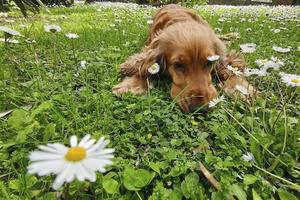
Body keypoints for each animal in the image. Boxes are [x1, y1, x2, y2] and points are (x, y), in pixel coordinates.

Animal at [112, 4, 253, 112]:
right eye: (178, 65)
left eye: (209, 63)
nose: (199, 109)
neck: (180, 20)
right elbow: (144, 64)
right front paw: (132, 84)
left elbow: (229, 67)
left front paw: (241, 89)